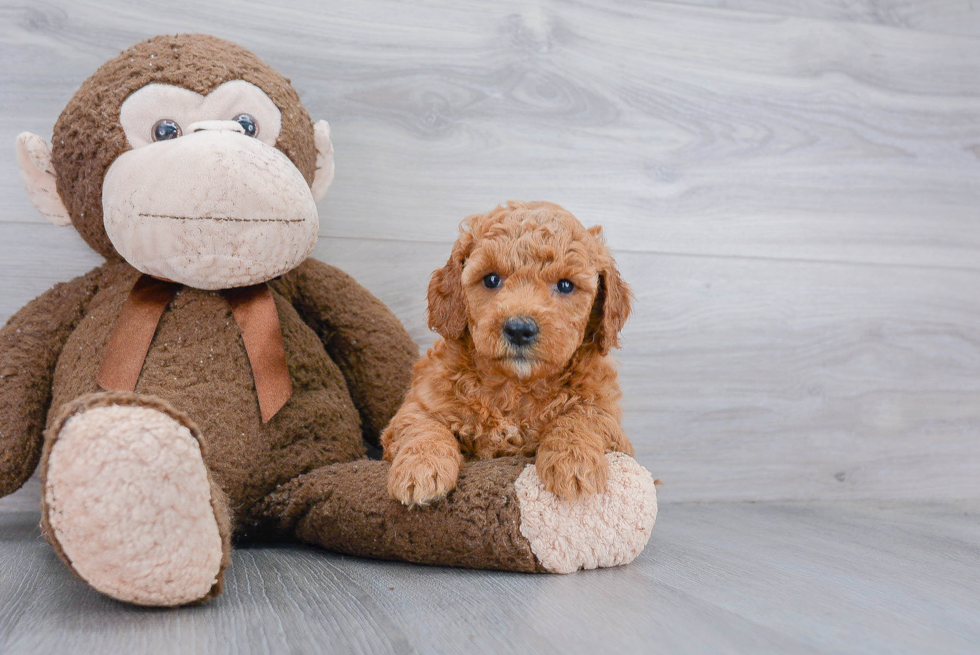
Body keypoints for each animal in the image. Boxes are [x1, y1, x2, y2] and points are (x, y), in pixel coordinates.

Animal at [382, 202, 636, 504]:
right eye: (491, 279)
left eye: (565, 285)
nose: (519, 329)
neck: (516, 387)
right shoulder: (420, 403)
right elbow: (421, 426)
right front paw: (420, 467)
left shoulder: (610, 420)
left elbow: (583, 417)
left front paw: (574, 461)